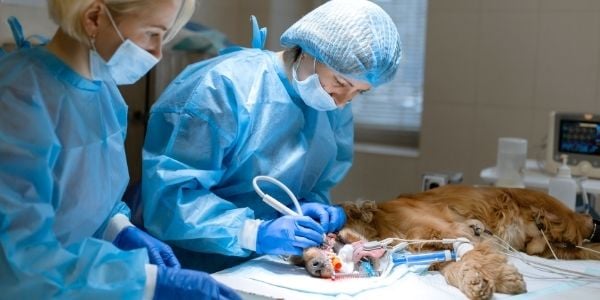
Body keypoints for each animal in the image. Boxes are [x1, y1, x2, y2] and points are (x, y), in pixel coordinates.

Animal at [296, 185, 600, 300]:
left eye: (326, 237)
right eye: (299, 261)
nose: (315, 266)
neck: (382, 224)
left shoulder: (458, 231)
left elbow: (474, 255)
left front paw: (504, 278)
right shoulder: (436, 252)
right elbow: (454, 267)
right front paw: (475, 282)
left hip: (563, 225)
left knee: (586, 228)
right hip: (551, 249)